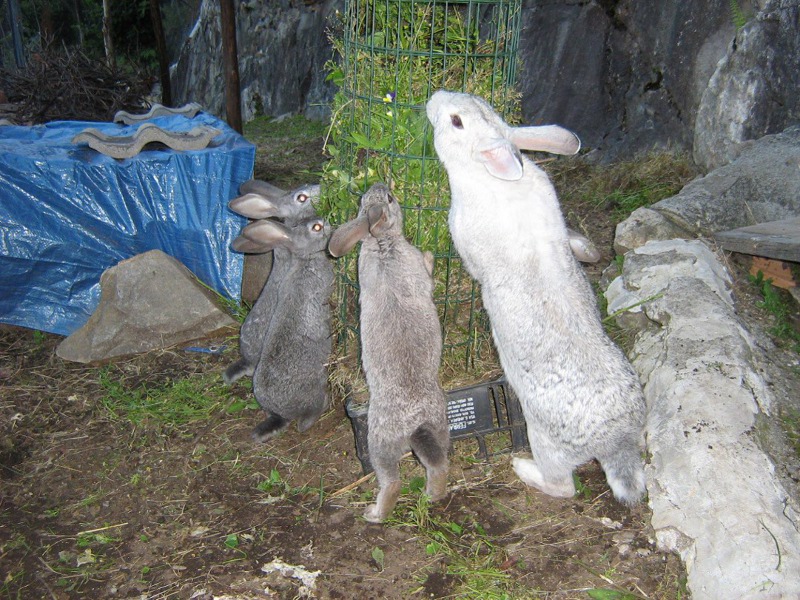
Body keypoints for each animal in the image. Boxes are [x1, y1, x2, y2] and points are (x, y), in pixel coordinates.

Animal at [230, 215, 334, 441]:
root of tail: (282, 414)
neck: (306, 259)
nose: (326, 221)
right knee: (308, 418)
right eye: (316, 227)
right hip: (315, 389)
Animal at [328, 183, 450, 523]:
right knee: (399, 479)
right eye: (392, 199)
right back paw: (379, 512)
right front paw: (430, 256)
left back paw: (423, 498)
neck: (382, 240)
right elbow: (428, 275)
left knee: (432, 467)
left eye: (383, 197)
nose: (382, 185)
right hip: (387, 440)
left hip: (429, 428)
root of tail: (414, 416)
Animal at [426, 90, 646, 505]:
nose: (434, 98)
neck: (485, 171)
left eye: (457, 121)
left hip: (546, 442)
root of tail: (616, 440)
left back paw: (523, 468)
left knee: (563, 487)